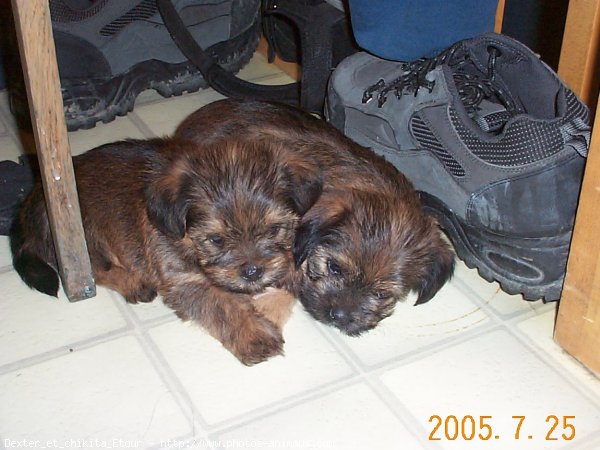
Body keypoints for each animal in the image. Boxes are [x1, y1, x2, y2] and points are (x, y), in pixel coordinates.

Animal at [10, 138, 318, 366]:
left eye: (274, 229)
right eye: (216, 239)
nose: (253, 271)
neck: (187, 241)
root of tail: (34, 197)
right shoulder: (185, 281)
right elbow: (223, 304)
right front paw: (253, 334)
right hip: (82, 234)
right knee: (92, 269)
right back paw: (133, 283)